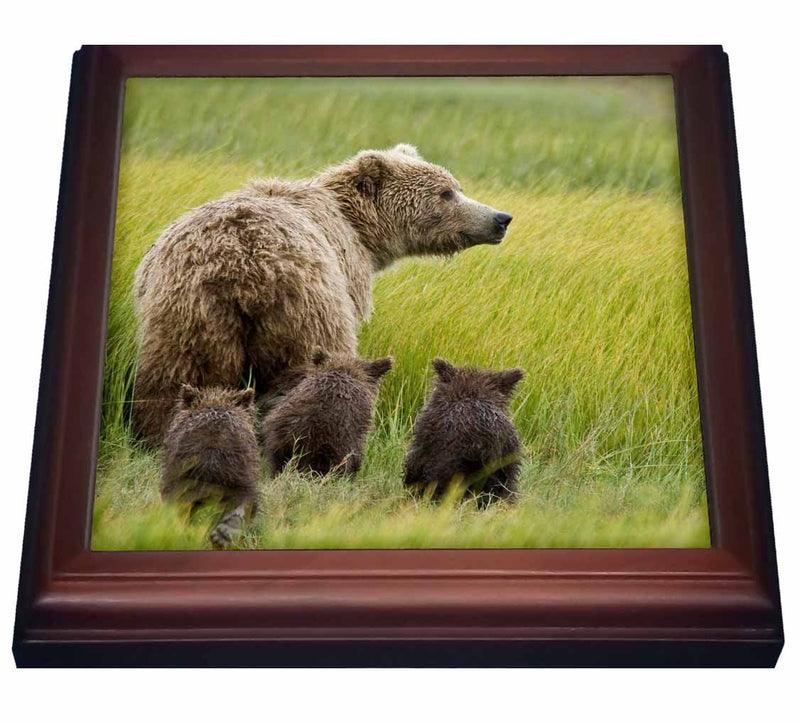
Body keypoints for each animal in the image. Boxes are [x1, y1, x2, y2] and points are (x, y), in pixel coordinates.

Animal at [132, 144, 513, 445]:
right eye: (446, 193)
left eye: (457, 187)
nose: (501, 218)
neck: (360, 231)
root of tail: (239, 266)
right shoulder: (348, 271)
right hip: (305, 307)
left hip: (188, 310)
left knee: (180, 375)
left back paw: (163, 435)